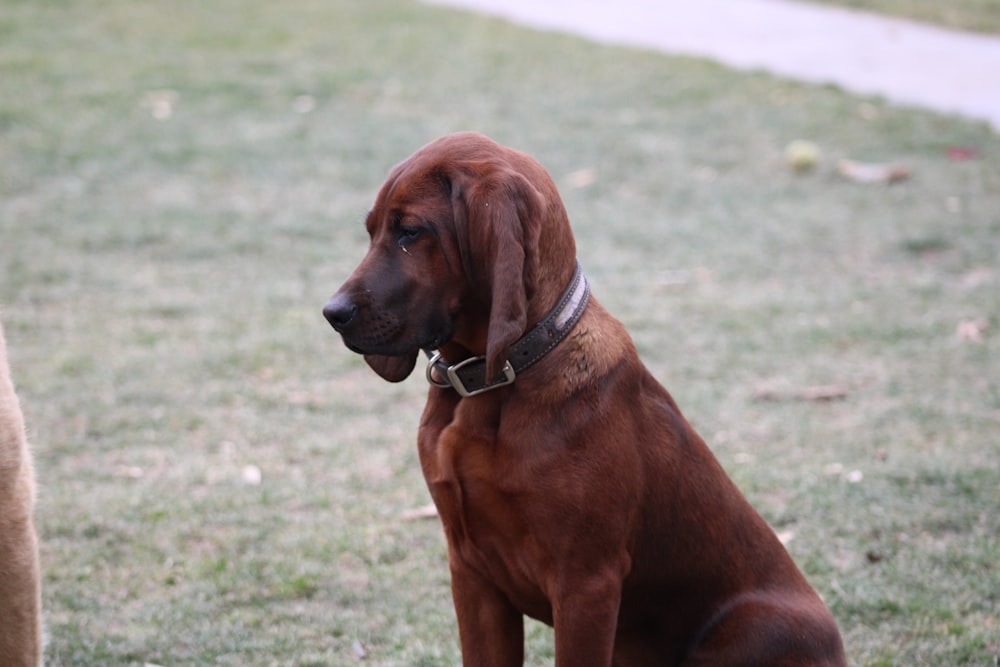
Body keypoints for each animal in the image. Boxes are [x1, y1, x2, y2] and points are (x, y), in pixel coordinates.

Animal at [324, 133, 848, 664]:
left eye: (411, 231)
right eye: (371, 231)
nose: (332, 313)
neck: (497, 382)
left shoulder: (585, 583)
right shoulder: (471, 574)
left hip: (746, 632)